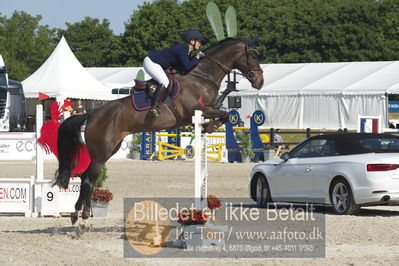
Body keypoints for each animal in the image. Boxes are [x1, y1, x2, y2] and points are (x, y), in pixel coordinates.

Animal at [54, 37, 266, 224]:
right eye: (253, 55)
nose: (260, 82)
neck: (202, 77)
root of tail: (91, 115)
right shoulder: (197, 110)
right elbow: (225, 114)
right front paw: (207, 126)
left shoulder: (205, 110)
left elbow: (224, 116)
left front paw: (207, 127)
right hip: (101, 152)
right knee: (88, 180)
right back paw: (83, 214)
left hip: (110, 149)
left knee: (84, 177)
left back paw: (76, 213)